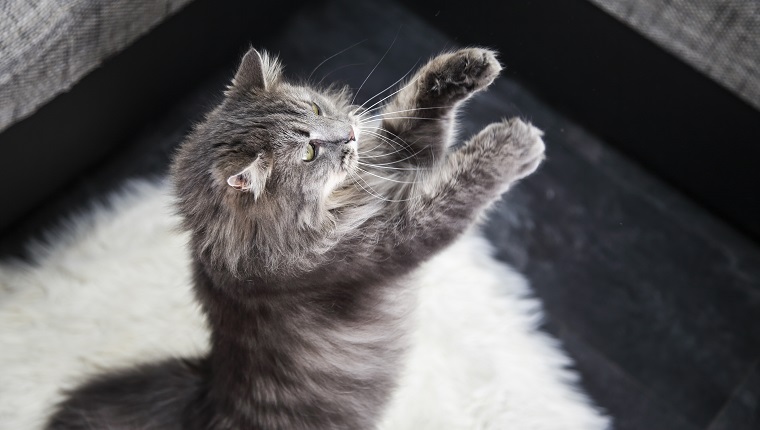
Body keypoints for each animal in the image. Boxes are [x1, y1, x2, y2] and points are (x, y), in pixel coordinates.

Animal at [46, 45, 548, 428]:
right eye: (308, 152)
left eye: (316, 108)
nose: (348, 135)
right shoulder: (392, 236)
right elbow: (461, 183)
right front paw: (516, 143)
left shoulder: (398, 160)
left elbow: (418, 109)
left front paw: (469, 66)